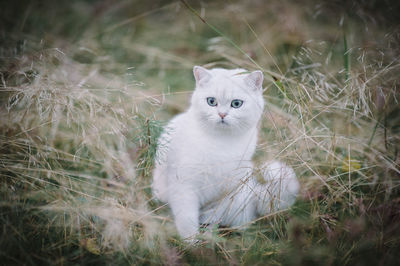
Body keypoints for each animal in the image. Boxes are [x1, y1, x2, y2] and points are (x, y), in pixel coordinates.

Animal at [152, 66, 298, 239]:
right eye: (211, 101)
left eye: (236, 104)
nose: (222, 114)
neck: (221, 144)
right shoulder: (184, 186)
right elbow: (187, 219)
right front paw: (192, 241)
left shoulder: (227, 192)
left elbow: (213, 217)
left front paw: (208, 237)